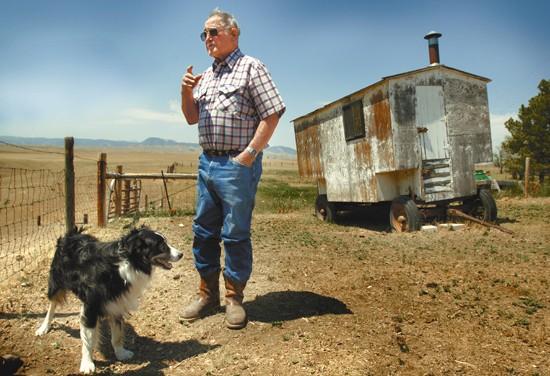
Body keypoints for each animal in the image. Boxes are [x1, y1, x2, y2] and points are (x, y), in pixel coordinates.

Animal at [35, 225, 184, 374]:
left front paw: (121, 353)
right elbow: (88, 339)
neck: (126, 263)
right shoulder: (91, 306)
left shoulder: (117, 303)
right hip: (57, 281)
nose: (181, 254)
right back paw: (43, 327)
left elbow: (117, 335)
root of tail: (73, 234)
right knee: (52, 304)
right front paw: (87, 364)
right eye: (161, 246)